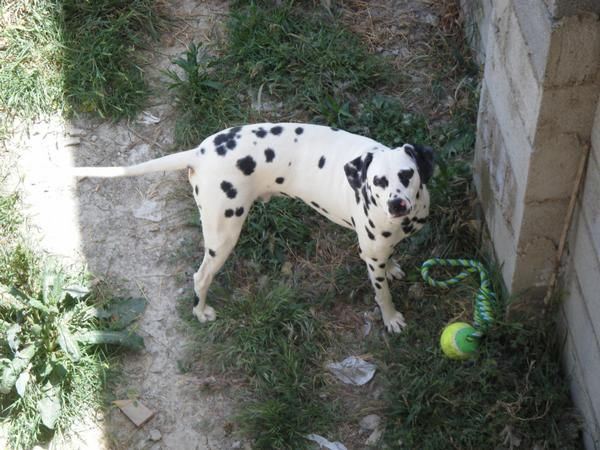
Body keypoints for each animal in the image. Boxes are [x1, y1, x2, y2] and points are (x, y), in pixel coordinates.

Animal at [72, 122, 434, 330]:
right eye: (378, 181)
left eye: (407, 174)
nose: (397, 205)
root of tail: (200, 152)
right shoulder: (371, 254)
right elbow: (382, 293)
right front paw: (391, 318)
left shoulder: (381, 248)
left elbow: (390, 262)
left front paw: (395, 268)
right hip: (223, 234)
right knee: (200, 277)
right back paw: (200, 311)